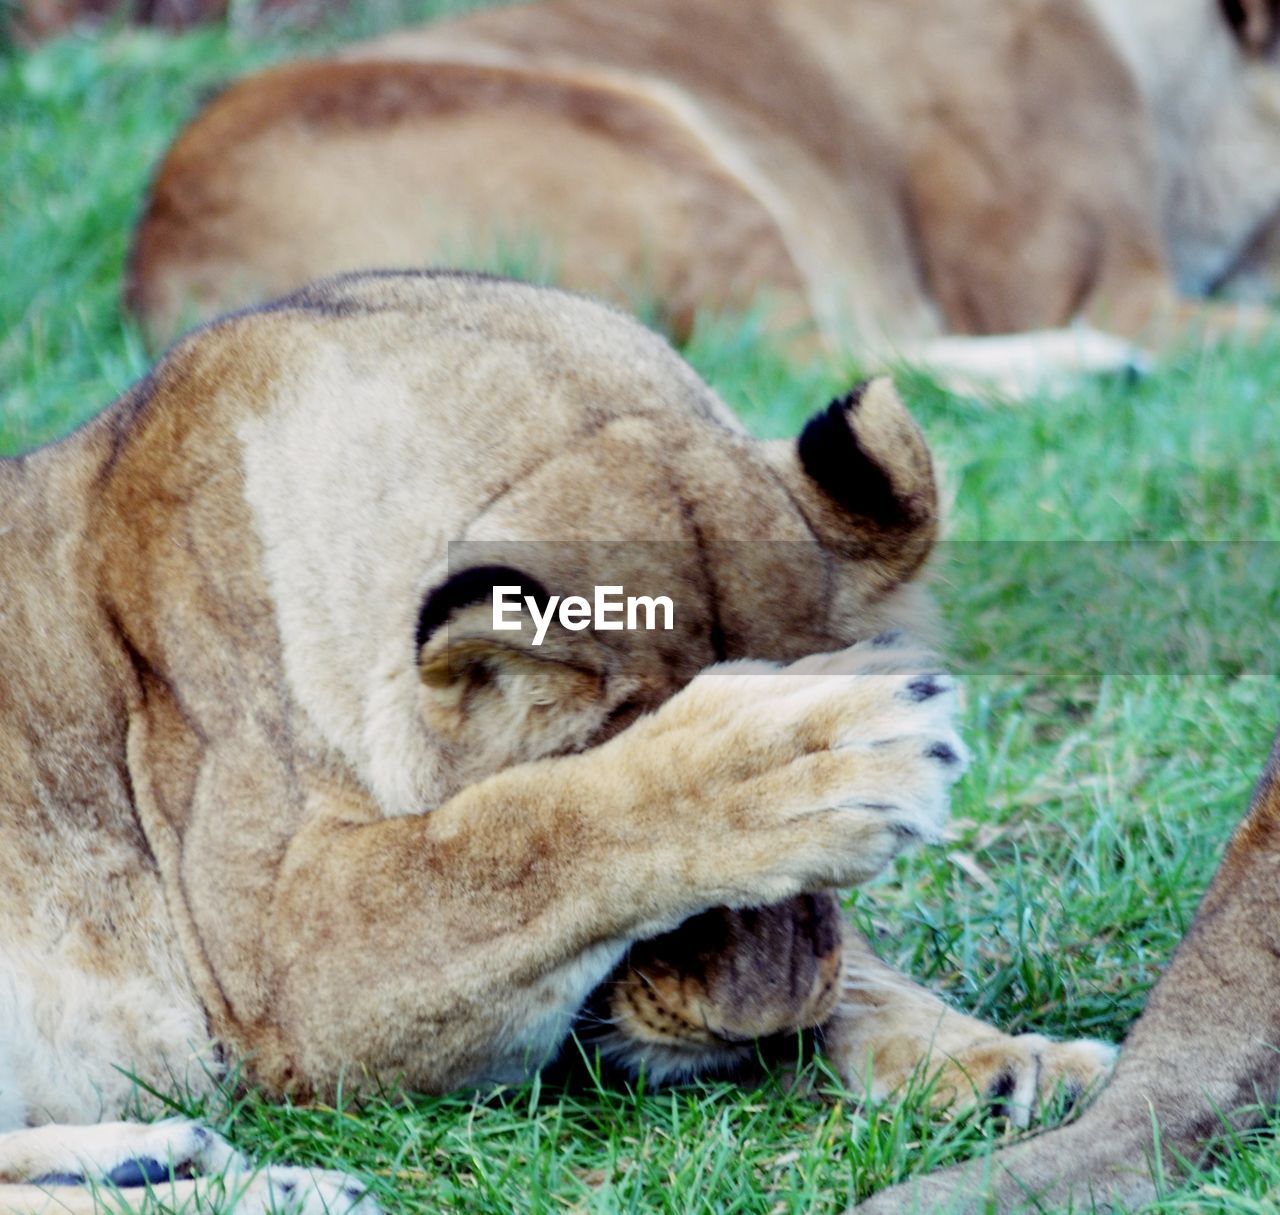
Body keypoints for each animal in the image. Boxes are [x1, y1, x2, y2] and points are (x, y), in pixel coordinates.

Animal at [0, 275, 1111, 1213]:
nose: (761, 1027)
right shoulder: (286, 981)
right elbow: (528, 837)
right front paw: (798, 752)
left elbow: (866, 972)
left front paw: (1012, 1059)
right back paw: (261, 1188)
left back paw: (177, 1162)